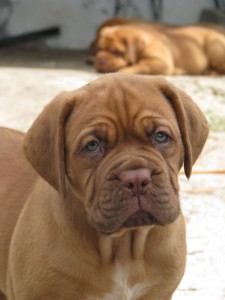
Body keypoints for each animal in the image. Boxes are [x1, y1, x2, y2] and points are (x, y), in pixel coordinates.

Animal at [91, 17, 225, 75]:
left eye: (117, 52)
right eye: (99, 49)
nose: (99, 60)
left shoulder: (161, 62)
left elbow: (141, 65)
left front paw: (124, 70)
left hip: (214, 45)